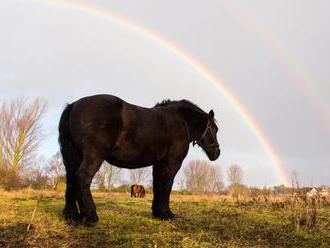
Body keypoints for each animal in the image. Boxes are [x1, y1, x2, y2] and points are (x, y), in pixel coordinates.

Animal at [59, 94, 219, 226]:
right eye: (214, 129)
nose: (217, 152)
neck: (181, 121)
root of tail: (73, 106)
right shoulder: (172, 163)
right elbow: (166, 186)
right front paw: (166, 214)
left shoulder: (159, 164)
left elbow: (157, 185)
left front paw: (158, 213)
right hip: (93, 157)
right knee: (82, 178)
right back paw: (90, 217)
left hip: (72, 158)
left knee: (71, 180)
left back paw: (72, 217)